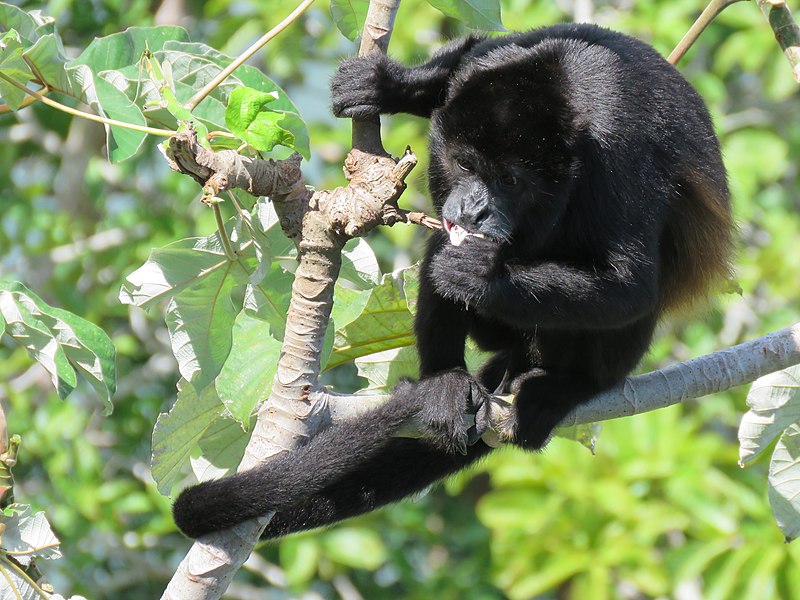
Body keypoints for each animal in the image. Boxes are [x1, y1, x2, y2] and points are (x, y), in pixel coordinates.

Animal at [172, 23, 736, 540]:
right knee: (438, 255)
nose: (474, 209)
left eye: (509, 180)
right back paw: (444, 382)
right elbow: (473, 52)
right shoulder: (498, 60)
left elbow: (632, 283)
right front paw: (385, 85)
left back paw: (564, 387)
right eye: (466, 164)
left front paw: (483, 275)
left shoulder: (619, 154)